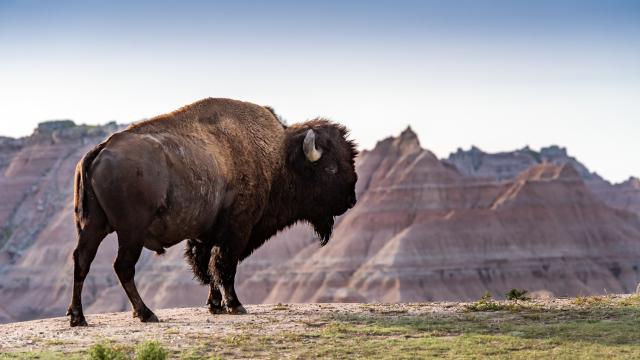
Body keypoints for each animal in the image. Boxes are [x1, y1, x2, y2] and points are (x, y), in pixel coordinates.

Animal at [67, 98, 358, 326]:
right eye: (331, 168)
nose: (351, 200)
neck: (278, 158)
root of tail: (100, 150)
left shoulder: (205, 235)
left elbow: (207, 268)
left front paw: (215, 305)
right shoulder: (237, 231)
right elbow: (224, 266)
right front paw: (235, 305)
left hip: (93, 226)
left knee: (82, 261)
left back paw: (78, 318)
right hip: (131, 232)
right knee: (123, 267)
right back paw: (146, 313)